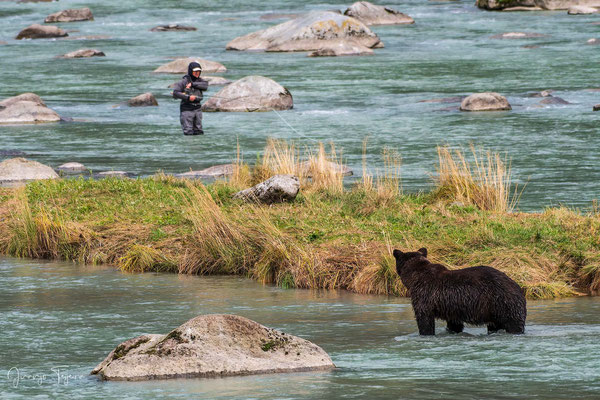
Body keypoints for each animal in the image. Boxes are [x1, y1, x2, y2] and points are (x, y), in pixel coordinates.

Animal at [394, 248, 524, 336]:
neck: (414, 277)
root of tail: (518, 287)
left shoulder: (425, 295)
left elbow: (424, 319)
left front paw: (425, 333)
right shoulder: (452, 307)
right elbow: (454, 324)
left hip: (504, 303)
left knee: (514, 324)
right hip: (495, 311)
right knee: (494, 326)